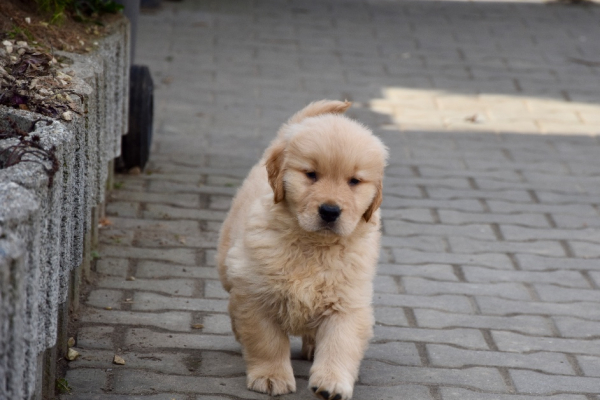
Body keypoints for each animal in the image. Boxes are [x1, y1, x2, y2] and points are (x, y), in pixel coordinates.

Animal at [218, 99, 386, 400]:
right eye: (311, 175)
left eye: (354, 181)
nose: (330, 211)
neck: (313, 244)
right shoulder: (256, 293)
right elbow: (267, 341)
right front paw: (271, 376)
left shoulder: (347, 301)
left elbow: (340, 343)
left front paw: (332, 382)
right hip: (227, 264)